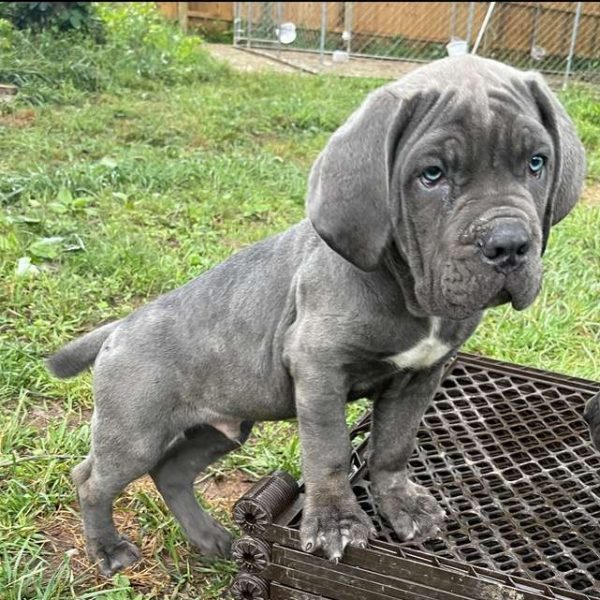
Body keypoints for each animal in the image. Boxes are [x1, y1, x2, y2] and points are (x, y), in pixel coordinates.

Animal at [48, 56, 584, 576]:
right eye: (431, 175)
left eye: (536, 163)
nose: (509, 244)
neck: (408, 292)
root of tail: (119, 328)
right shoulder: (319, 367)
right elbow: (328, 450)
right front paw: (335, 524)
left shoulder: (421, 376)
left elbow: (394, 445)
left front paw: (403, 505)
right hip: (135, 429)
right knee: (92, 479)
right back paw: (109, 552)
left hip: (221, 426)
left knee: (172, 472)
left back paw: (211, 539)